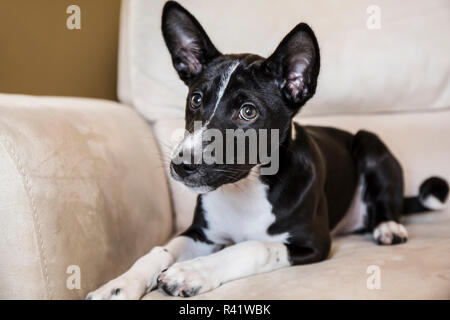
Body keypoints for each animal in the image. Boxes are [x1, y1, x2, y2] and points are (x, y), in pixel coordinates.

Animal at [87, 1, 446, 298]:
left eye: (248, 112)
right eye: (196, 100)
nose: (181, 165)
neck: (246, 189)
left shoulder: (314, 242)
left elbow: (253, 247)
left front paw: (191, 272)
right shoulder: (200, 233)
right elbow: (160, 251)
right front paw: (120, 283)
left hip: (369, 141)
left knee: (386, 201)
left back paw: (387, 226)